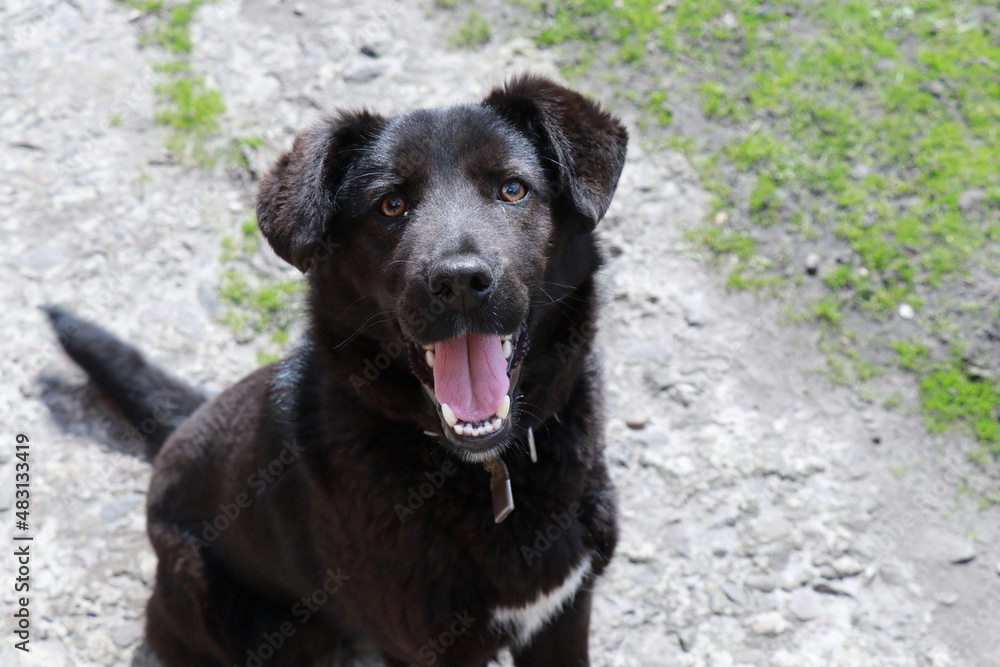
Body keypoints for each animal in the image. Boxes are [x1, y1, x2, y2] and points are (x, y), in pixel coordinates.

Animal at [48, 75, 624, 664]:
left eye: (512, 189)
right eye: (390, 205)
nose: (460, 281)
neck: (487, 470)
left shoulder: (565, 612)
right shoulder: (430, 647)